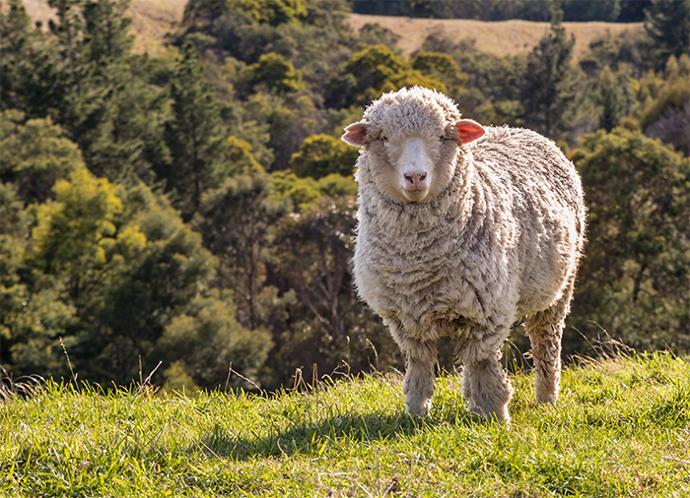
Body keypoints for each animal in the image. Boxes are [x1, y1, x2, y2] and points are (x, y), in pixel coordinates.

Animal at [342, 87, 584, 422]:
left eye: (444, 136)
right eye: (383, 137)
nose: (415, 177)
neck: (419, 261)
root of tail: (516, 129)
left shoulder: (486, 312)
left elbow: (482, 363)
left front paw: (496, 415)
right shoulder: (405, 318)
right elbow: (419, 365)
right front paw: (416, 412)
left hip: (560, 286)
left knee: (545, 343)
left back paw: (546, 398)